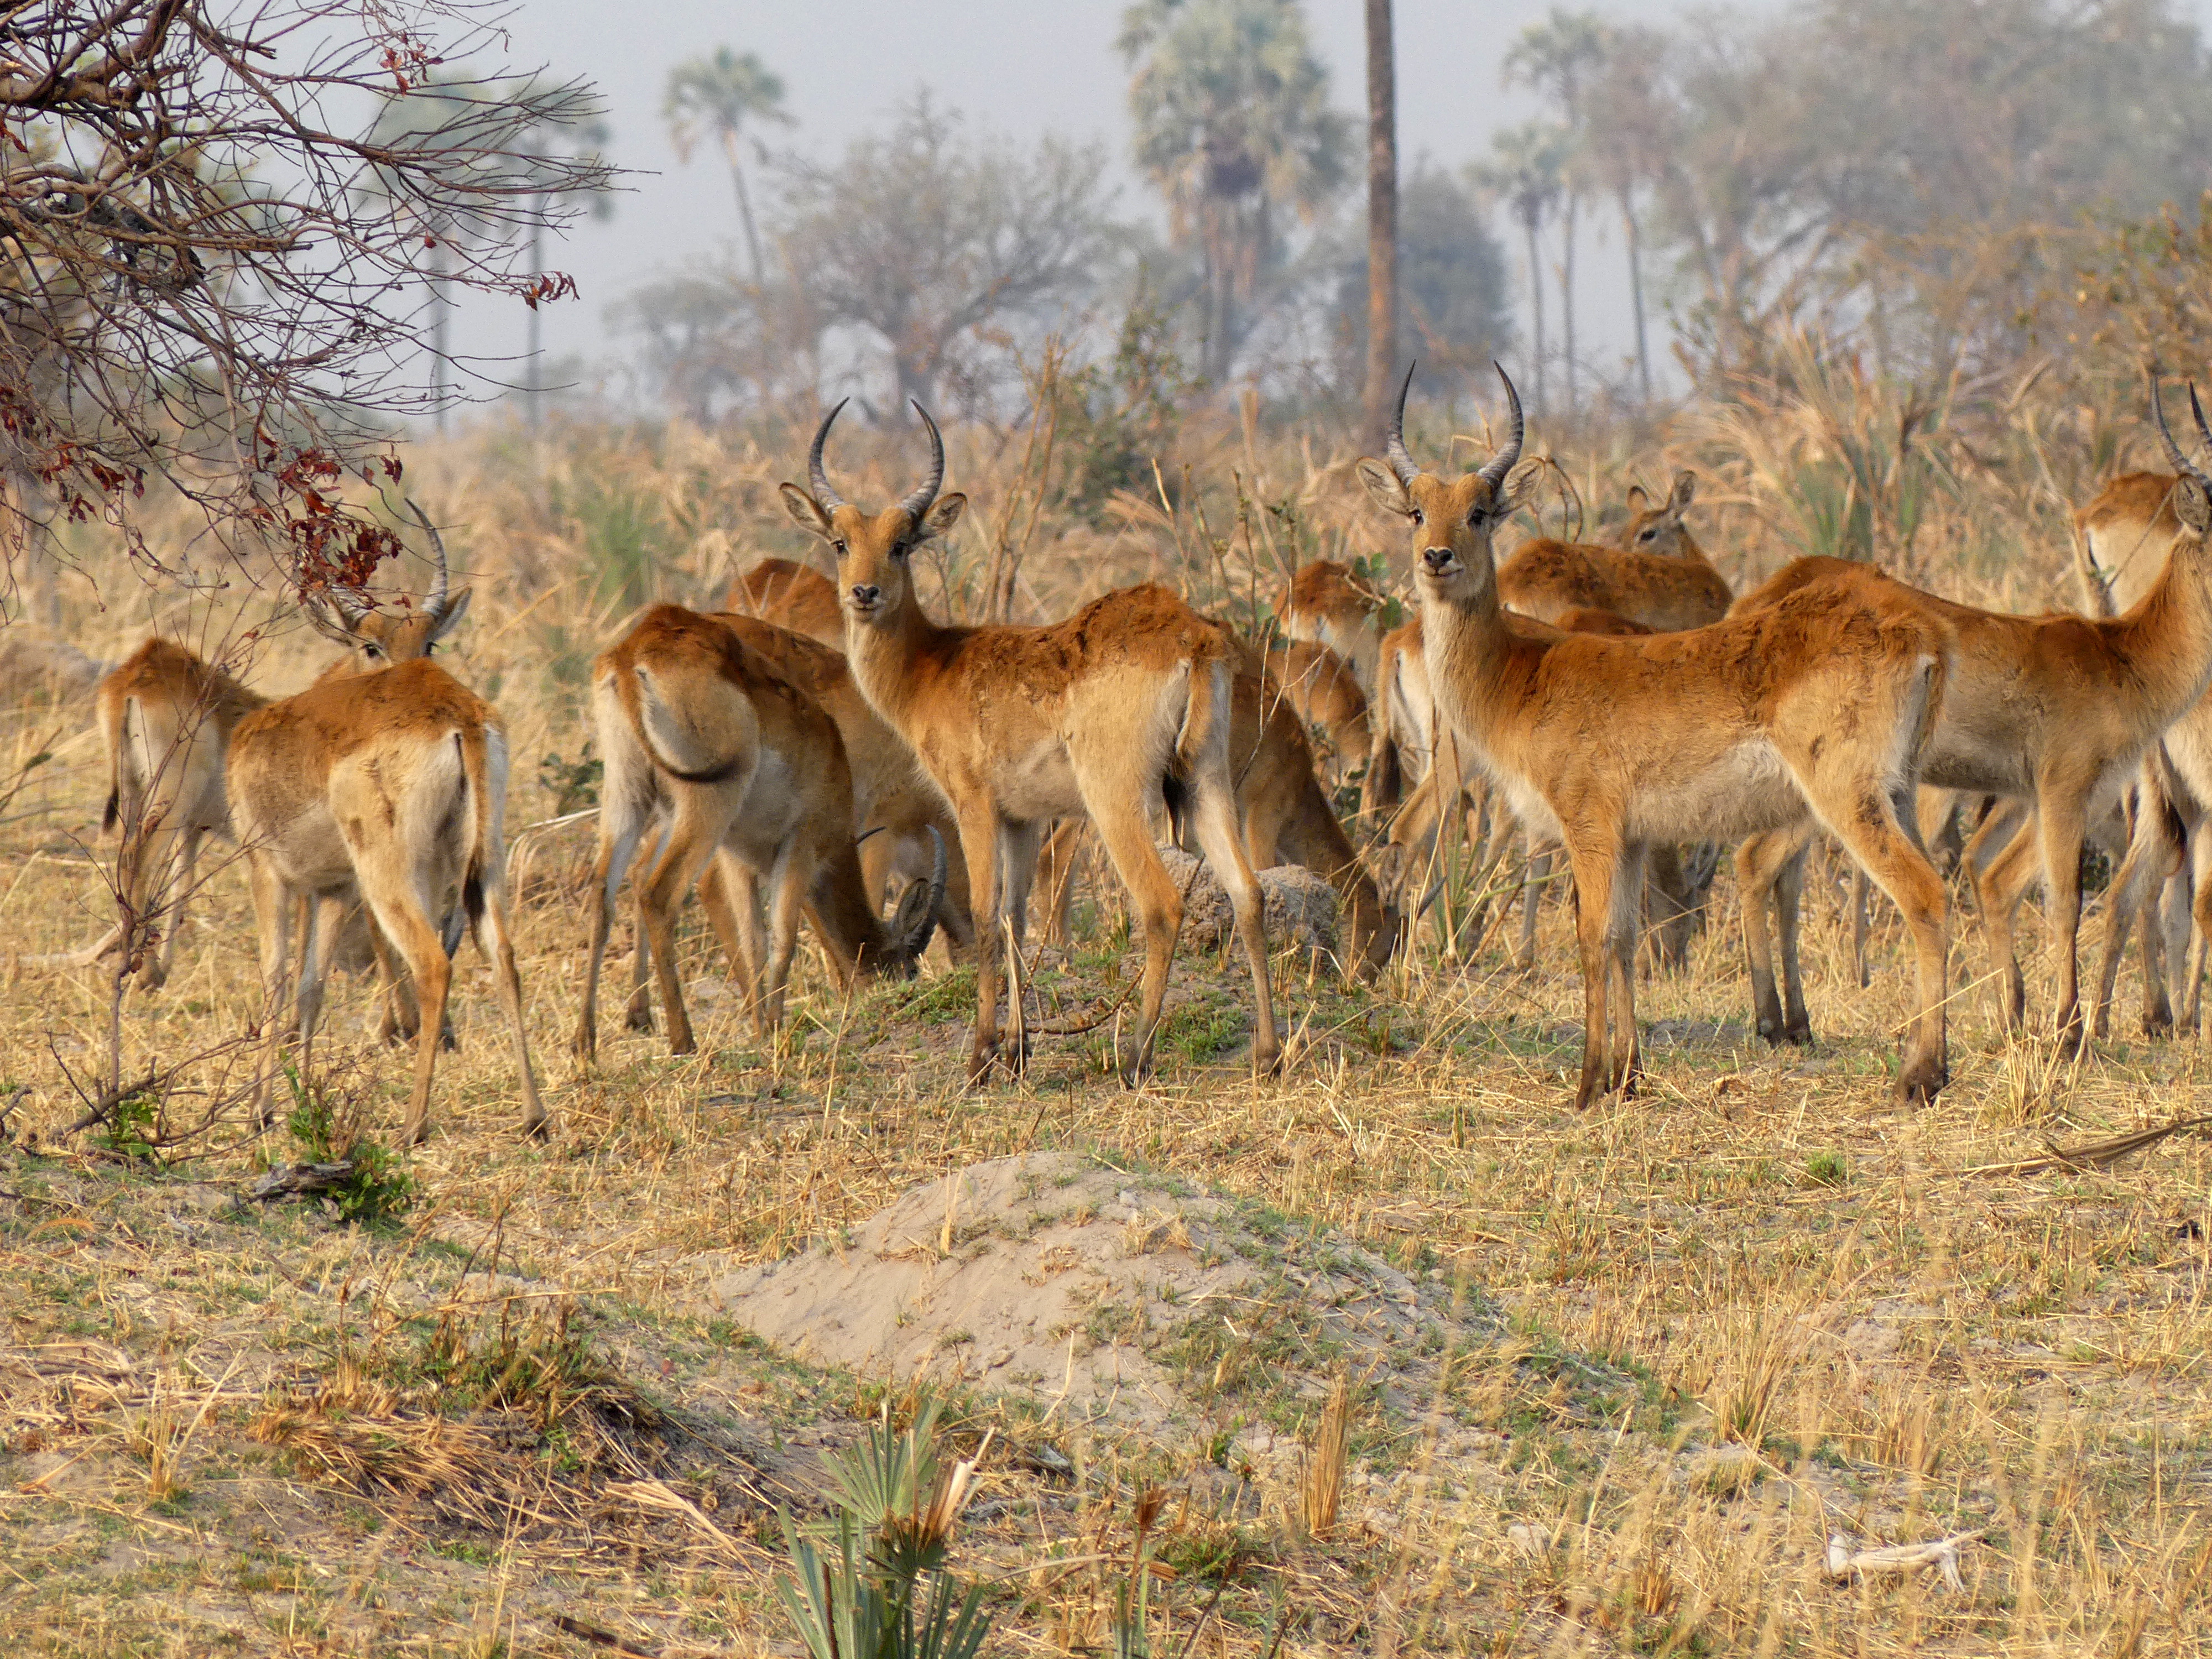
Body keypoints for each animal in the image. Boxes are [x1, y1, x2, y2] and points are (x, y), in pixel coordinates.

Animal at [226, 513, 549, 1150]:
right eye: (371, 644)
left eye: (429, 640)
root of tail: (458, 714)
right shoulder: (332, 888)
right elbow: (312, 985)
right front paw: (302, 1102)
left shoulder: (270, 873)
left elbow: (276, 978)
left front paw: (261, 1111)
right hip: (483, 861)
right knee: (503, 955)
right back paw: (534, 1118)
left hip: (391, 874)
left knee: (433, 963)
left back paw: (412, 1127)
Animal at [571, 606, 942, 1057]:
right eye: (908, 967)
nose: (889, 996)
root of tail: (631, 656)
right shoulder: (800, 845)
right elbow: (784, 938)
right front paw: (777, 1030)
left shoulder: (737, 856)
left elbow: (754, 941)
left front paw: (763, 1030)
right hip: (707, 805)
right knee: (657, 894)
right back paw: (683, 1041)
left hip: (628, 798)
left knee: (603, 891)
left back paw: (586, 1045)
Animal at [787, 396, 1283, 1084]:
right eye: (840, 543)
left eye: (902, 543)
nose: (864, 593)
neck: (934, 665)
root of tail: (1191, 635)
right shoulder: (1023, 819)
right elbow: (1017, 920)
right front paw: (1017, 1052)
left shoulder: (972, 807)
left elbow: (986, 918)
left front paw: (979, 1058)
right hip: (1203, 783)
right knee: (1248, 893)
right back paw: (1267, 1055)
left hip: (1115, 801)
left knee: (1161, 905)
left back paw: (1134, 1058)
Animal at [1363, 369, 1955, 1110]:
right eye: (1417, 511)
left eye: (1479, 511)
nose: (1436, 557)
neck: (1520, 676)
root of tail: (1921, 633)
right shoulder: (1634, 838)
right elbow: (1623, 938)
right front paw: (1629, 1075)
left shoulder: (1588, 826)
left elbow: (1591, 939)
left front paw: (1588, 1084)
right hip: (1897, 794)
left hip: (1847, 801)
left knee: (1923, 897)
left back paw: (1917, 1077)